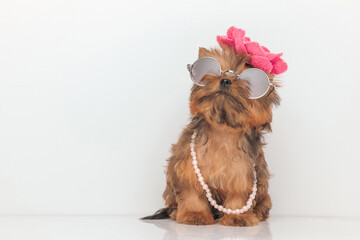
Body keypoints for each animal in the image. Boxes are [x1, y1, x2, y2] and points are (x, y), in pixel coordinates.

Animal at [142, 27, 286, 226]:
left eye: (248, 79)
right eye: (216, 70)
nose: (225, 80)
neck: (222, 131)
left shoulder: (242, 174)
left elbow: (238, 196)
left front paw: (238, 217)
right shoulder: (187, 168)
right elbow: (192, 193)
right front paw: (195, 215)